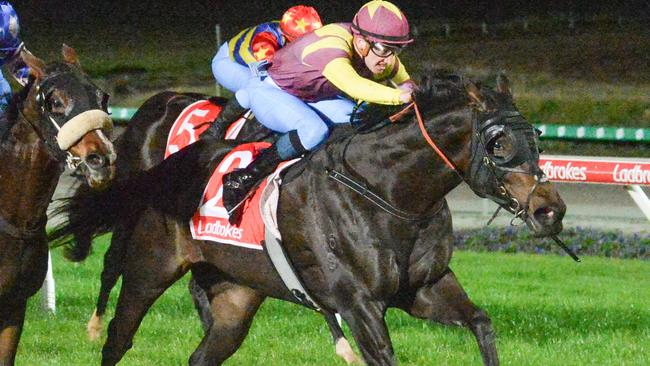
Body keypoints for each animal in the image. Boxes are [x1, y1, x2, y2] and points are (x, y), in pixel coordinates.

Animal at [50, 73, 560, 364]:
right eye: (497, 142)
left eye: (536, 137)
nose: (550, 208)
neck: (388, 192)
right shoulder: (359, 304)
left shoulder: (425, 288)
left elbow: (482, 324)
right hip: (151, 267)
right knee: (118, 335)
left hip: (236, 293)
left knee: (204, 352)